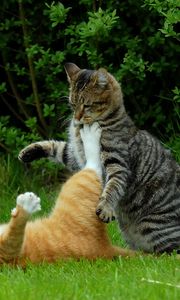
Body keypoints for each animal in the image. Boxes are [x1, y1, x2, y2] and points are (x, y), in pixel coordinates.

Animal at [0, 123, 135, 264]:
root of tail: (105, 248)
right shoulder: (8, 253)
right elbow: (15, 232)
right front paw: (27, 204)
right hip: (79, 182)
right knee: (93, 164)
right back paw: (90, 134)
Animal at [18, 63, 180, 255]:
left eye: (87, 105)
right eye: (73, 104)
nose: (76, 118)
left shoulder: (117, 163)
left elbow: (112, 187)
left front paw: (105, 207)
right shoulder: (75, 156)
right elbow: (57, 147)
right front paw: (29, 151)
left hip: (154, 228)